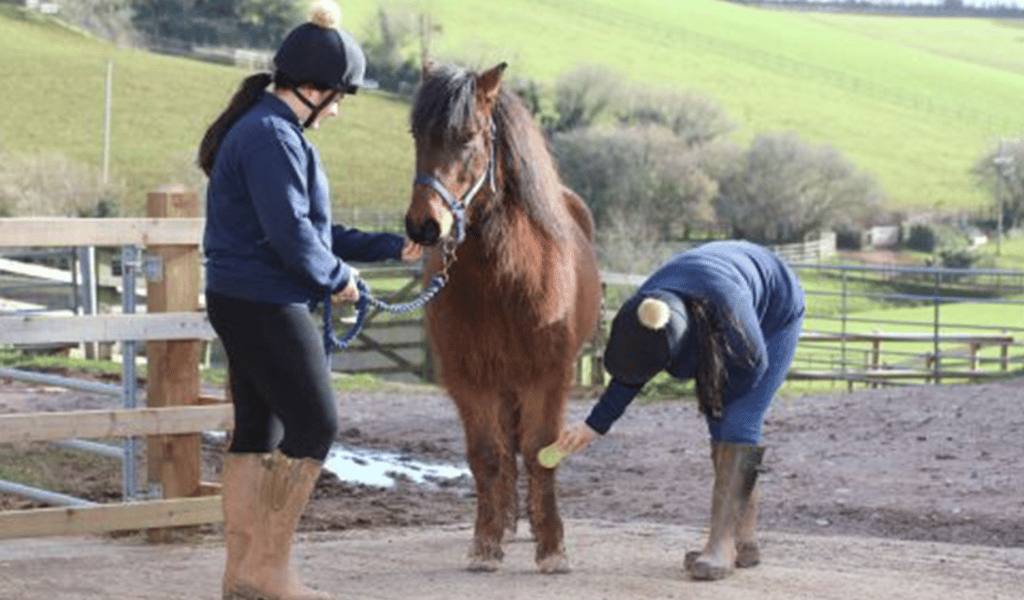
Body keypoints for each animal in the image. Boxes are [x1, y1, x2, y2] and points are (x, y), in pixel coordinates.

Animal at [403, 62, 602, 573]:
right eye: (417, 133)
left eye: (470, 135)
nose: (424, 226)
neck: (506, 282)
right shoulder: (468, 378)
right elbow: (488, 455)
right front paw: (486, 542)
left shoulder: (548, 375)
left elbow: (540, 452)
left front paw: (552, 547)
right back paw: (512, 522)